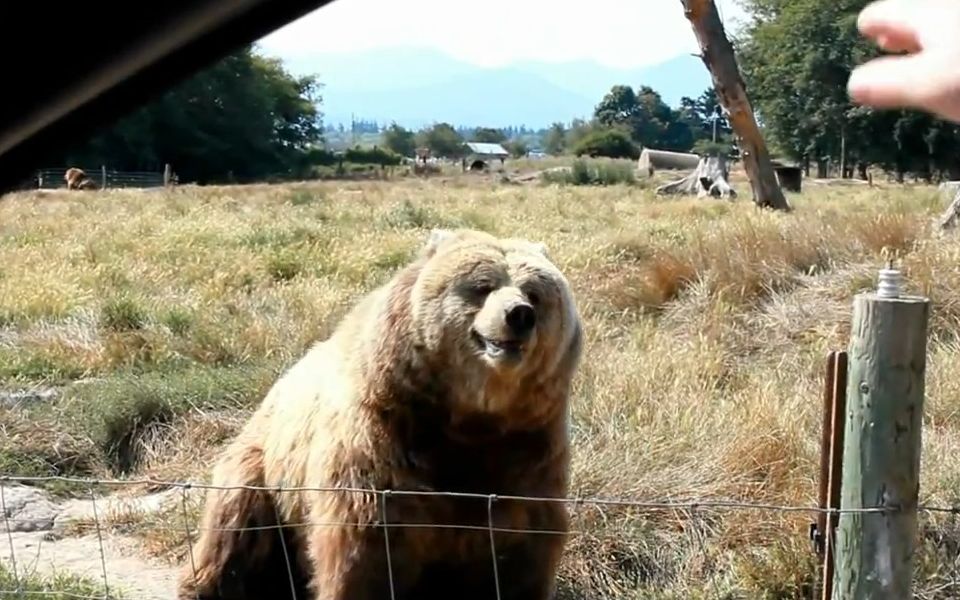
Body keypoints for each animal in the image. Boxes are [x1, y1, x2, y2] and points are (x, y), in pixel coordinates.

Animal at [177, 227, 584, 596]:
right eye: (482, 285)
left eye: (535, 293)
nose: (519, 315)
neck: (468, 415)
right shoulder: (383, 432)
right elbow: (367, 543)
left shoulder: (526, 445)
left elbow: (520, 545)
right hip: (264, 471)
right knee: (235, 530)